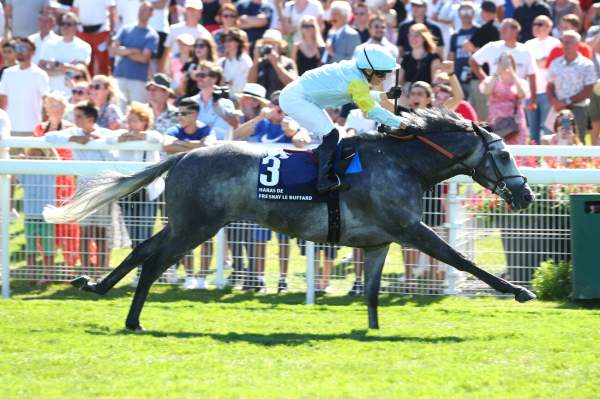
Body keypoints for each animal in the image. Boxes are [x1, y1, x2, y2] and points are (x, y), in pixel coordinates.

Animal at [44, 108, 536, 332]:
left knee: (143, 249)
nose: (527, 193)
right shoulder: (411, 229)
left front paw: (373, 331)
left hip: (186, 222)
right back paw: (133, 319)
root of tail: (182, 155)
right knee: (152, 261)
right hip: (196, 226)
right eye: (504, 155)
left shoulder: (380, 241)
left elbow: (371, 291)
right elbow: (463, 261)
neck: (403, 162)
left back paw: (96, 286)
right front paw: (518, 290)